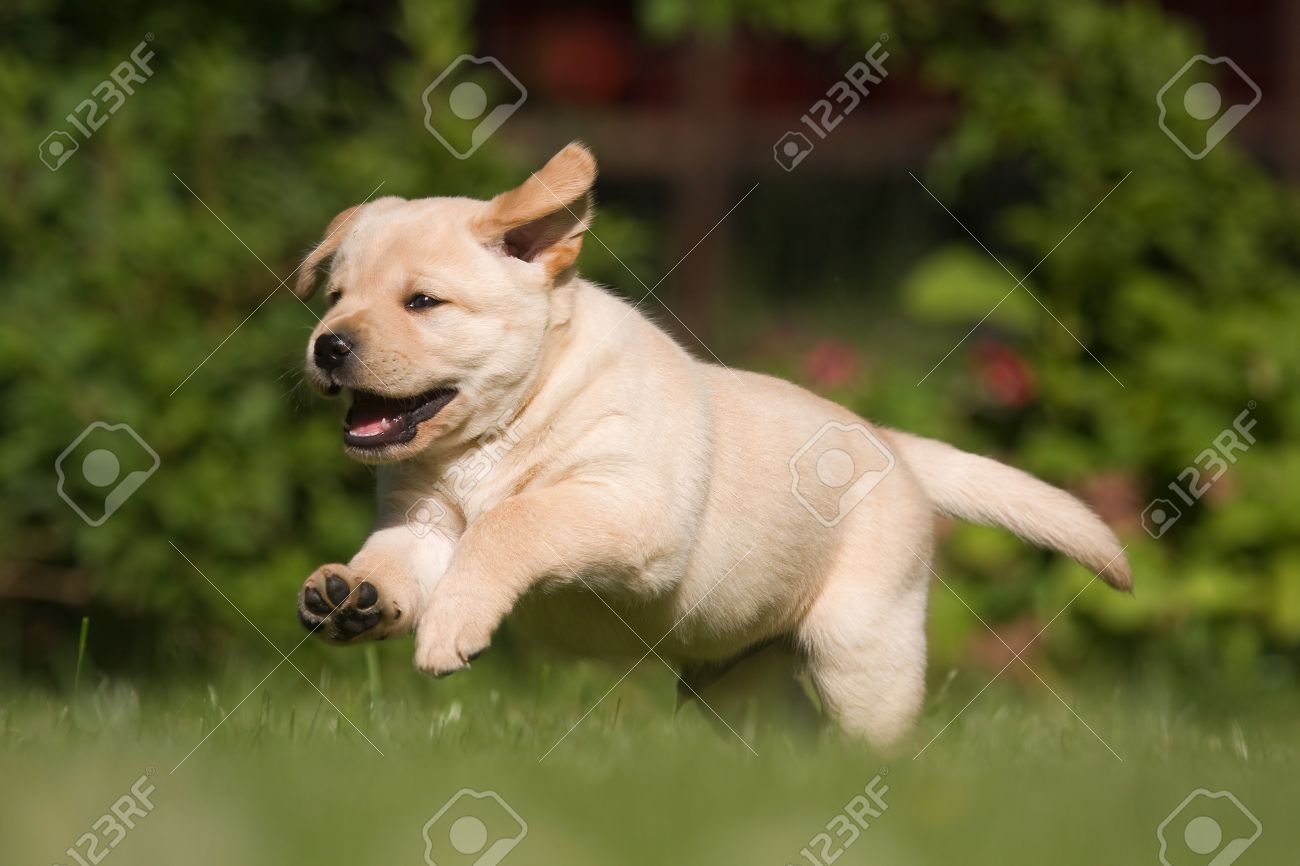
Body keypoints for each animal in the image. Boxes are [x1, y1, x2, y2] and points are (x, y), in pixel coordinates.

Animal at [295, 139, 1128, 743]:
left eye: (422, 302)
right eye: (335, 297)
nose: (327, 345)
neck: (503, 423)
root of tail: (889, 440)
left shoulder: (631, 509)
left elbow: (513, 520)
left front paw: (451, 627)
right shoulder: (424, 525)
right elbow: (396, 560)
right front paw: (353, 595)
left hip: (863, 647)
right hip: (736, 679)